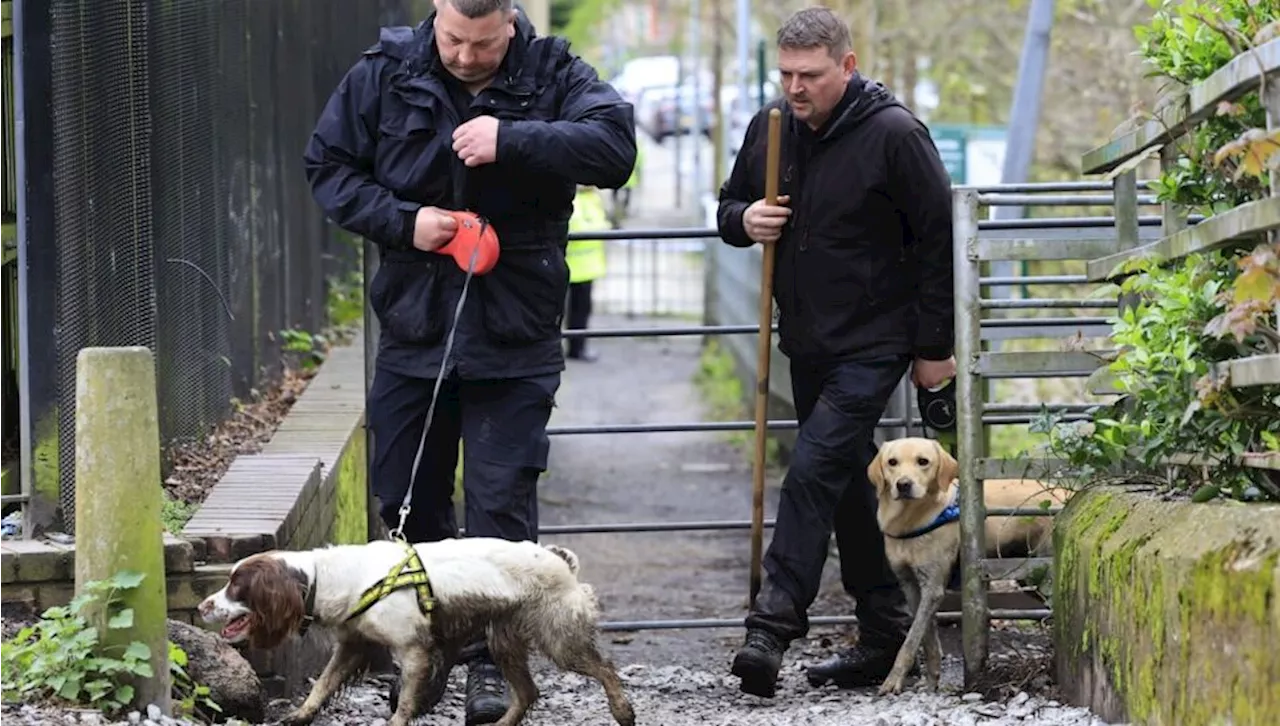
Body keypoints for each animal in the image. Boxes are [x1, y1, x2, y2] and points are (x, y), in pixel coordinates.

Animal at [198, 540, 634, 726]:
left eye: (236, 586)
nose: (202, 606)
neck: (328, 576)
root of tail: (560, 559)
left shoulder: (413, 650)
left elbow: (406, 703)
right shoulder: (355, 644)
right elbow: (322, 684)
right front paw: (300, 716)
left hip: (557, 637)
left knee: (606, 669)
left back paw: (623, 712)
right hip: (504, 640)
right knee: (528, 692)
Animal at [865, 440, 1064, 696]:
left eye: (923, 461)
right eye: (892, 462)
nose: (903, 484)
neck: (911, 519)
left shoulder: (933, 587)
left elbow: (910, 641)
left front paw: (893, 680)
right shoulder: (911, 586)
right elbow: (927, 638)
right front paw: (931, 680)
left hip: (1045, 574)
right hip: (1030, 577)